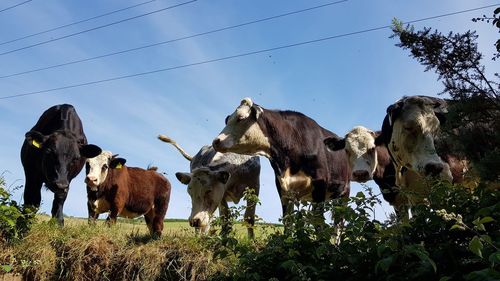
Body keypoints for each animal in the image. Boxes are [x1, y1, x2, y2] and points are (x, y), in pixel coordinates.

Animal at [213, 97, 350, 220]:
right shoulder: (284, 190)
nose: (216, 141)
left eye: (240, 118)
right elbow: (288, 221)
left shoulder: (320, 185)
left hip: (344, 192)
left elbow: (318, 223)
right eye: (228, 120)